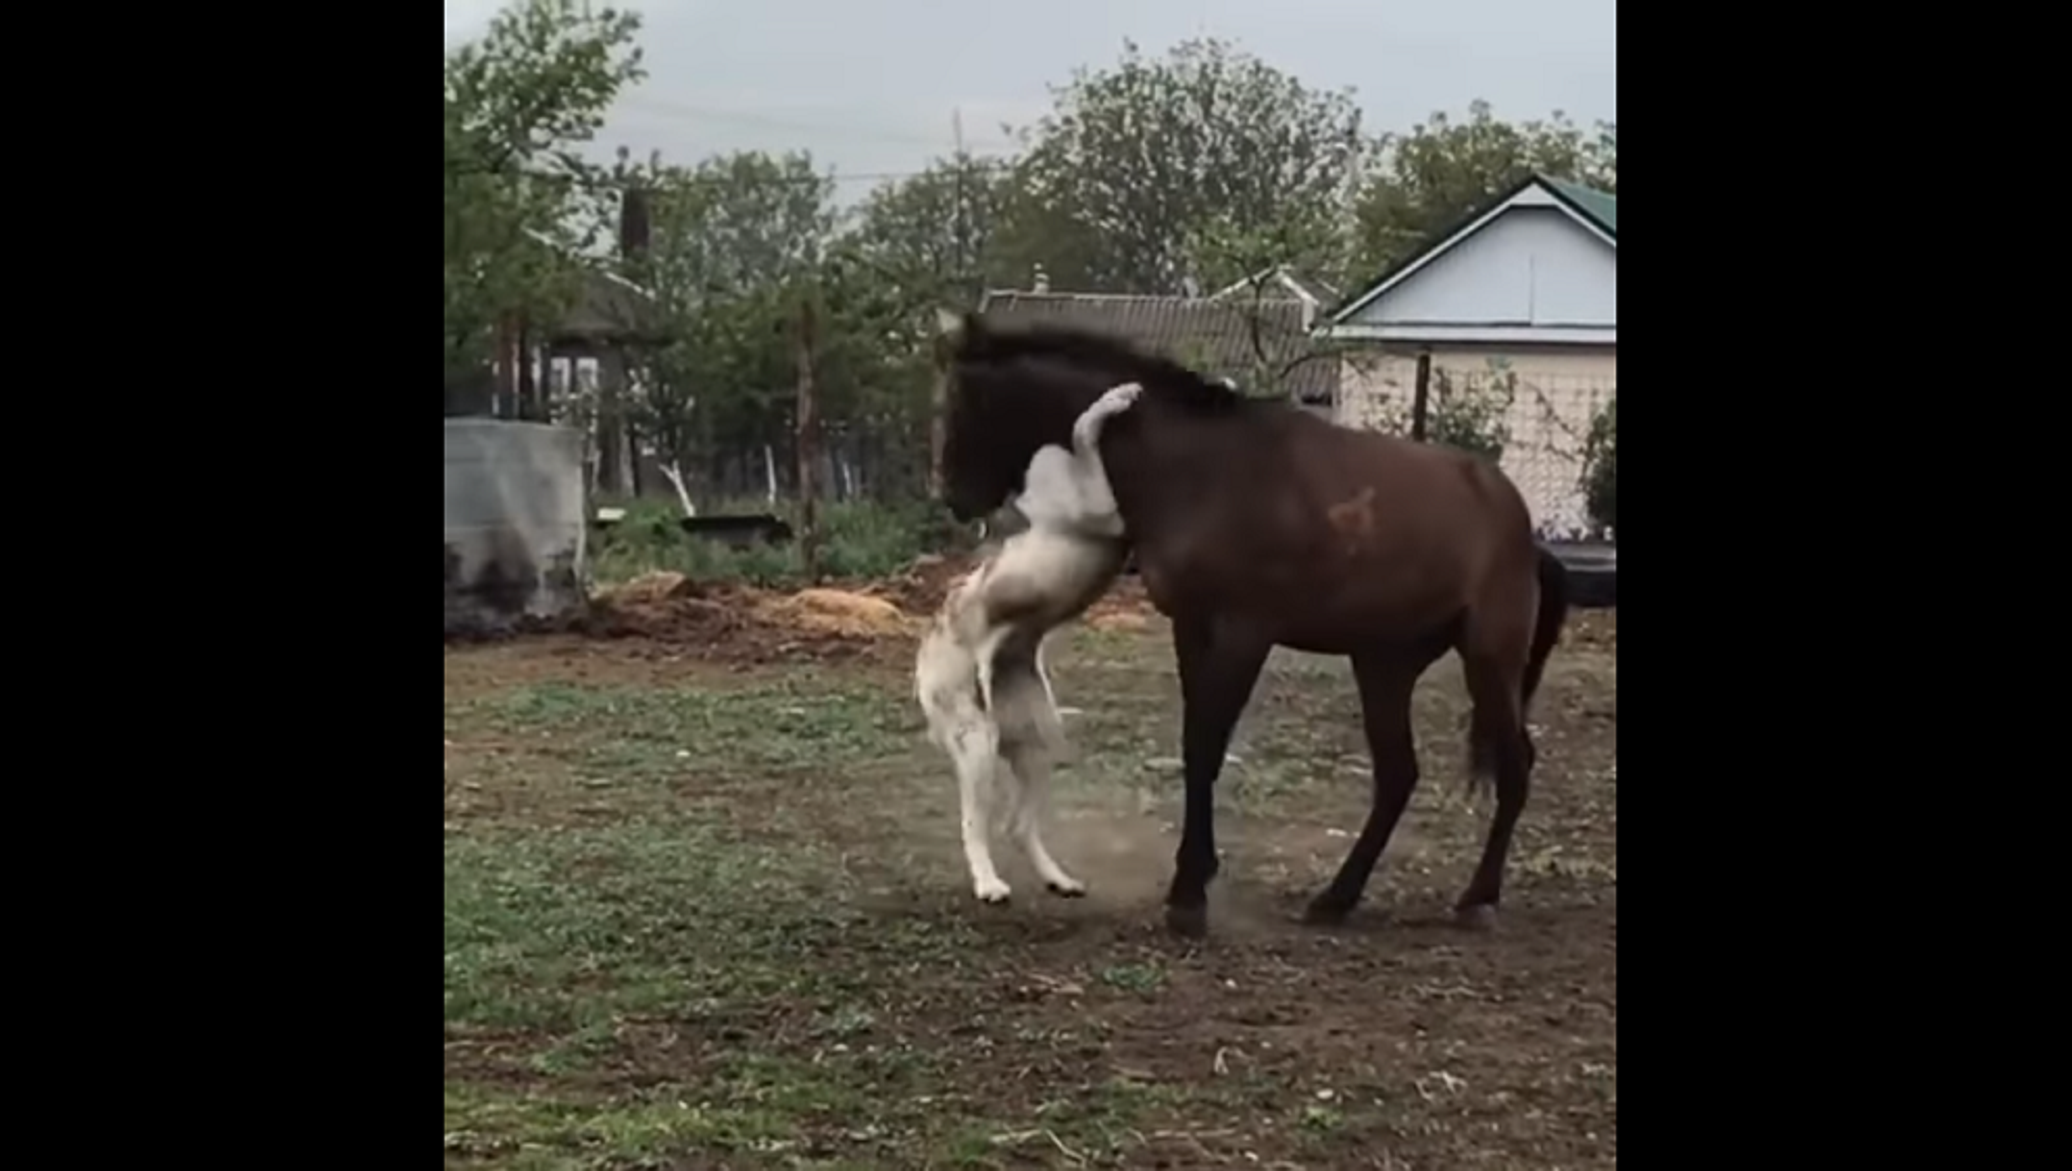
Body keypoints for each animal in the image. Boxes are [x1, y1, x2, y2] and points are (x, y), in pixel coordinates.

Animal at [915, 379, 1143, 899]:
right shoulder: (1099, 505)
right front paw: (1112, 401)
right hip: (977, 743)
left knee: (1016, 826)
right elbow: (1082, 430)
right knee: (974, 825)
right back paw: (988, 882)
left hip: (1040, 738)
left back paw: (1057, 878)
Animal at [940, 308, 1566, 932]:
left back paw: (1476, 897)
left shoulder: (1244, 633)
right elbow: (1195, 746)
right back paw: (1336, 899)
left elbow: (1210, 746)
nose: (953, 498)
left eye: (964, 400)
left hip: (1488, 660)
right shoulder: (1192, 627)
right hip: (1384, 664)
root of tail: (1518, 524)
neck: (1200, 469)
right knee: (1398, 775)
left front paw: (1190, 893)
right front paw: (1190, 880)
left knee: (1515, 766)